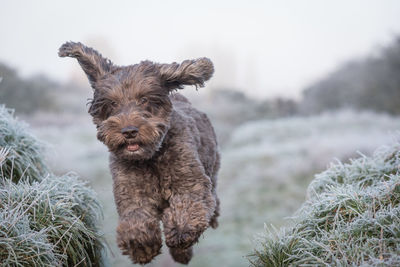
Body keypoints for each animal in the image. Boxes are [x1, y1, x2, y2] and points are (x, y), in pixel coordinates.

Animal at [58, 42, 220, 266]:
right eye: (113, 103)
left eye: (144, 99)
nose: (129, 131)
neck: (150, 159)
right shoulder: (132, 193)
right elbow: (136, 220)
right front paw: (142, 246)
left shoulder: (190, 183)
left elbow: (188, 208)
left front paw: (179, 232)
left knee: (213, 199)